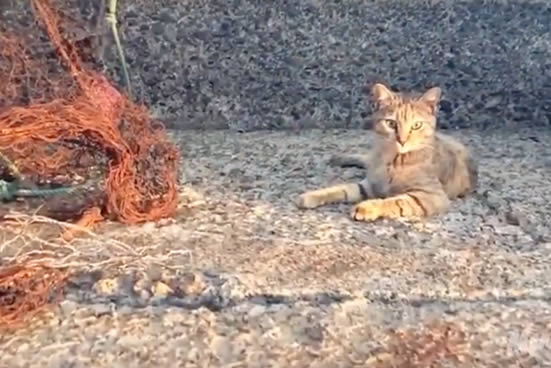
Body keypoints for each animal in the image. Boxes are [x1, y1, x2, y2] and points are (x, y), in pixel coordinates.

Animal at [298, 83, 478, 221]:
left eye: (416, 125)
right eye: (391, 123)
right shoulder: (369, 185)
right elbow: (342, 189)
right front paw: (312, 196)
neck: (394, 161)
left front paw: (367, 207)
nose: (402, 141)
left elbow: (395, 201)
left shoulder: (432, 196)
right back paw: (340, 158)